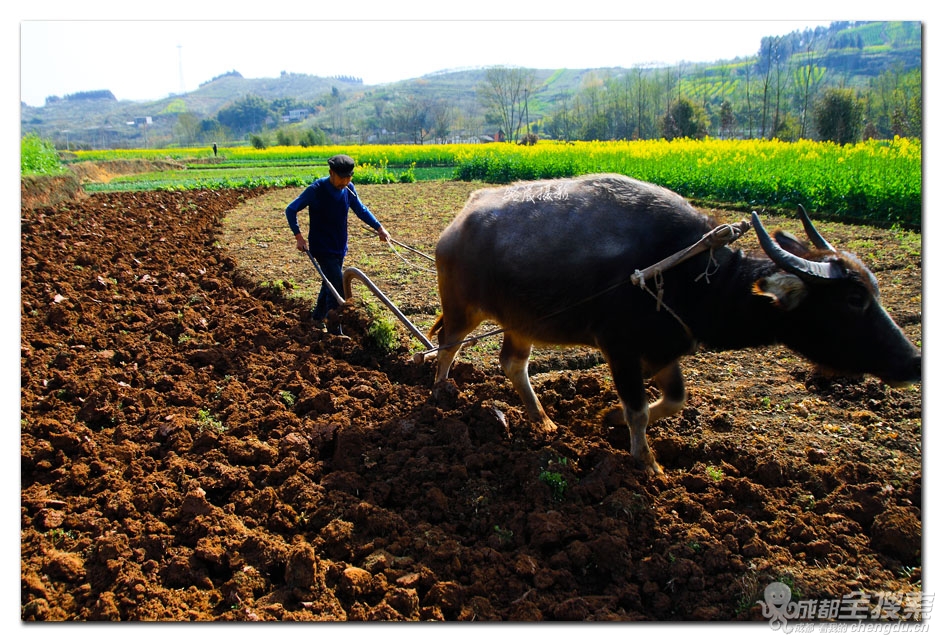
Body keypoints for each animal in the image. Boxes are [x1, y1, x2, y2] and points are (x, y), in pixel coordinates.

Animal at [430, 172, 920, 472]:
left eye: (875, 290)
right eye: (854, 299)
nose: (914, 362)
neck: (693, 274)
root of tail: (456, 224)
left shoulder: (667, 347)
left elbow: (675, 399)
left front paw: (607, 417)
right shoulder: (621, 348)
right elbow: (640, 408)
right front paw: (647, 462)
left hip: (521, 321)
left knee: (513, 363)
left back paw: (543, 420)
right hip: (463, 309)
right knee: (448, 346)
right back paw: (438, 395)